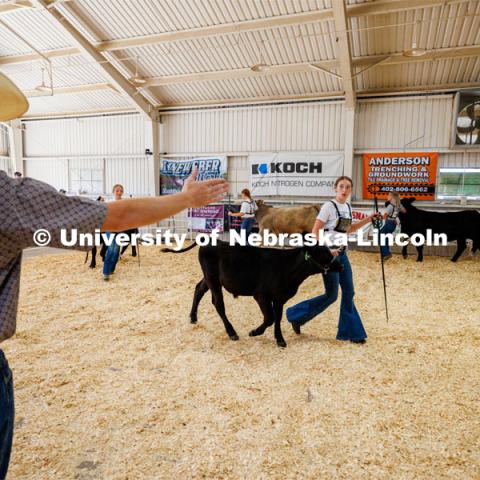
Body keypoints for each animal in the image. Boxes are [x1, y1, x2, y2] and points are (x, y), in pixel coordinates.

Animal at [165, 242, 342, 346]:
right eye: (323, 253)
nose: (340, 266)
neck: (287, 268)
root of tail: (209, 240)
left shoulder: (280, 297)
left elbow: (278, 318)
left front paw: (279, 339)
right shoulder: (261, 295)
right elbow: (270, 318)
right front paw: (255, 332)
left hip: (209, 278)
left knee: (198, 289)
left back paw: (193, 317)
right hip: (212, 279)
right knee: (218, 304)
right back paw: (232, 333)